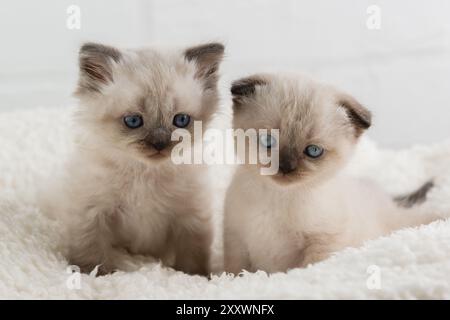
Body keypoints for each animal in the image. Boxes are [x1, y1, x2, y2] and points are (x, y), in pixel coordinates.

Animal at [51, 42, 224, 276]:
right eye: (133, 121)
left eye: (181, 120)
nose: (159, 144)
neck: (144, 174)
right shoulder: (92, 211)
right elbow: (91, 252)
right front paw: (95, 275)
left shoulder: (191, 217)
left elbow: (192, 258)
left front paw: (195, 277)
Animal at [223, 74, 442, 274]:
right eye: (268, 141)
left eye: (313, 151)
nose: (285, 167)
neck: (278, 196)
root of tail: (384, 196)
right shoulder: (236, 240)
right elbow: (236, 273)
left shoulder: (323, 239)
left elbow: (308, 268)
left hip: (395, 224)